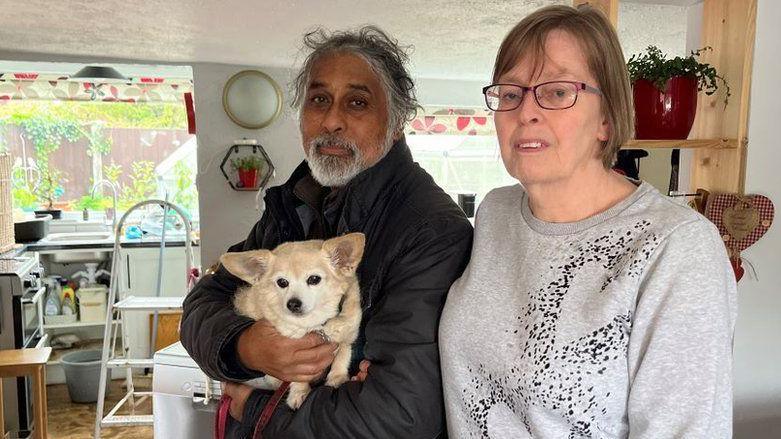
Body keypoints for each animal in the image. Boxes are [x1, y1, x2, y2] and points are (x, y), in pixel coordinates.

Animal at [219, 234, 366, 410]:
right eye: (282, 282)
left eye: (314, 279)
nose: (293, 304)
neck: (317, 324)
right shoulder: (294, 358)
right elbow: (298, 376)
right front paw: (299, 393)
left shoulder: (348, 332)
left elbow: (343, 354)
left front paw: (337, 378)